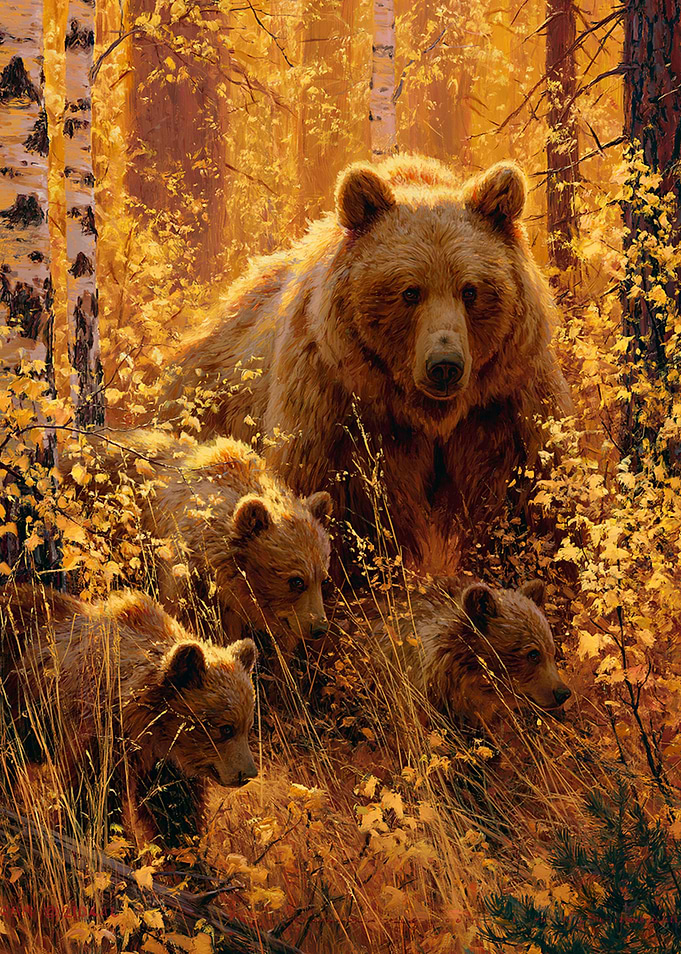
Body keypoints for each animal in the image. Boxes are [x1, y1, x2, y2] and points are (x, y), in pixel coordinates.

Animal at [0, 584, 258, 847]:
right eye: (225, 728)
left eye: (247, 726)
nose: (248, 773)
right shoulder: (99, 731)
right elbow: (90, 792)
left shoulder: (163, 760)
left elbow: (173, 804)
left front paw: (182, 845)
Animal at [157, 153, 571, 570]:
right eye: (410, 292)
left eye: (470, 290)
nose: (444, 365)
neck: (429, 414)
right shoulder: (337, 412)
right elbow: (339, 509)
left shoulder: (504, 403)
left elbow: (527, 504)